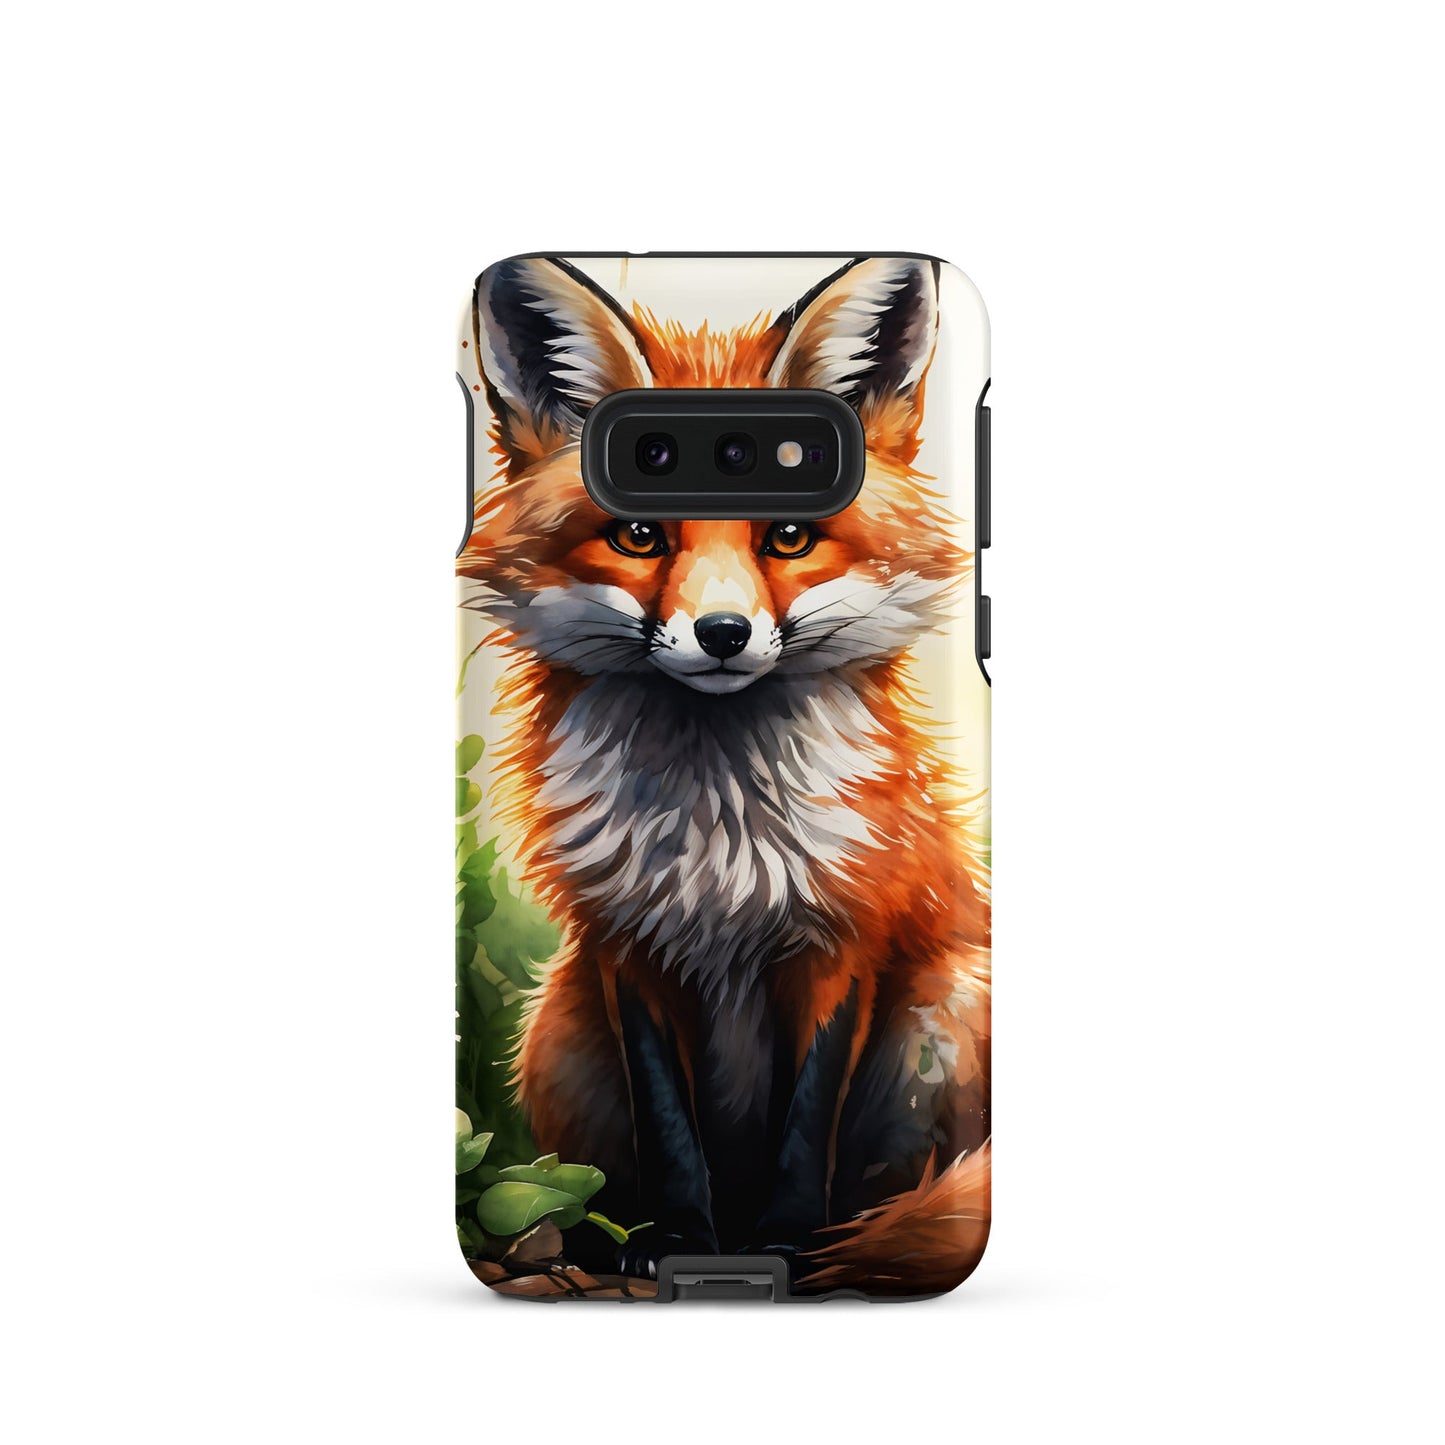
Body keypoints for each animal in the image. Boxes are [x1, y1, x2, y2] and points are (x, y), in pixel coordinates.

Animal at [458, 255, 990, 1294]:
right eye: (637, 536)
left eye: (788, 536)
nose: (722, 633)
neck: (720, 840)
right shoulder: (626, 946)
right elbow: (669, 1126)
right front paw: (676, 1239)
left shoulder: (843, 940)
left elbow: (805, 1124)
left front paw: (782, 1244)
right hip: (557, 1024)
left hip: (944, 1012)